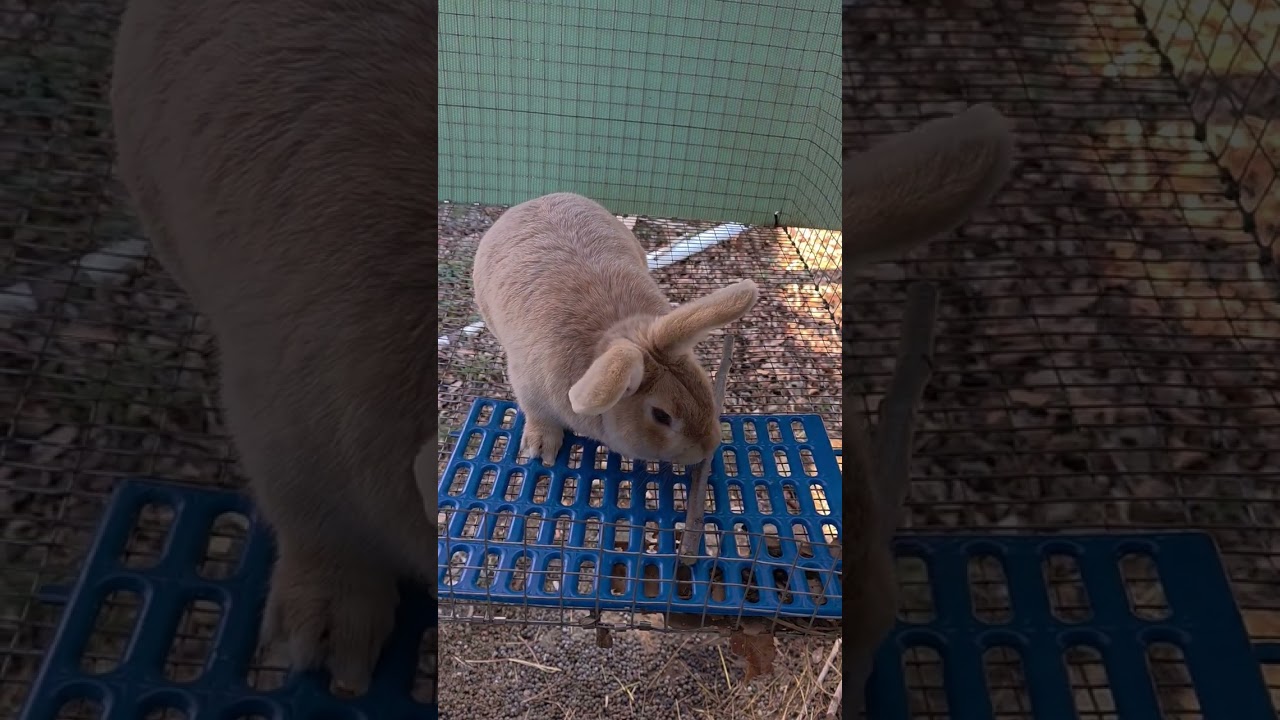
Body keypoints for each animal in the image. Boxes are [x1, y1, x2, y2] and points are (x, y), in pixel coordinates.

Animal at [472, 192, 758, 467]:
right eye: (661, 416)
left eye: (704, 387)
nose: (709, 447)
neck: (614, 333)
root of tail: (534, 201)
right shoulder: (527, 387)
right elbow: (538, 414)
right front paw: (540, 448)